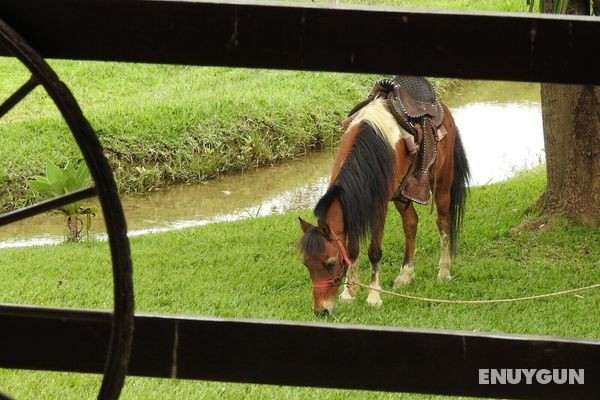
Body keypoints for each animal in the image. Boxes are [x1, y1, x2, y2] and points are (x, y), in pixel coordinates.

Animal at [298, 85, 472, 316]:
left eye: (330, 263)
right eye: (307, 265)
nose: (321, 311)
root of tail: (443, 109)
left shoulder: (378, 206)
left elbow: (374, 252)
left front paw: (373, 297)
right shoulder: (355, 207)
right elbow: (352, 250)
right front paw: (349, 294)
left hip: (442, 184)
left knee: (443, 223)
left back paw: (443, 272)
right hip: (402, 195)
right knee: (411, 224)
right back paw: (405, 274)